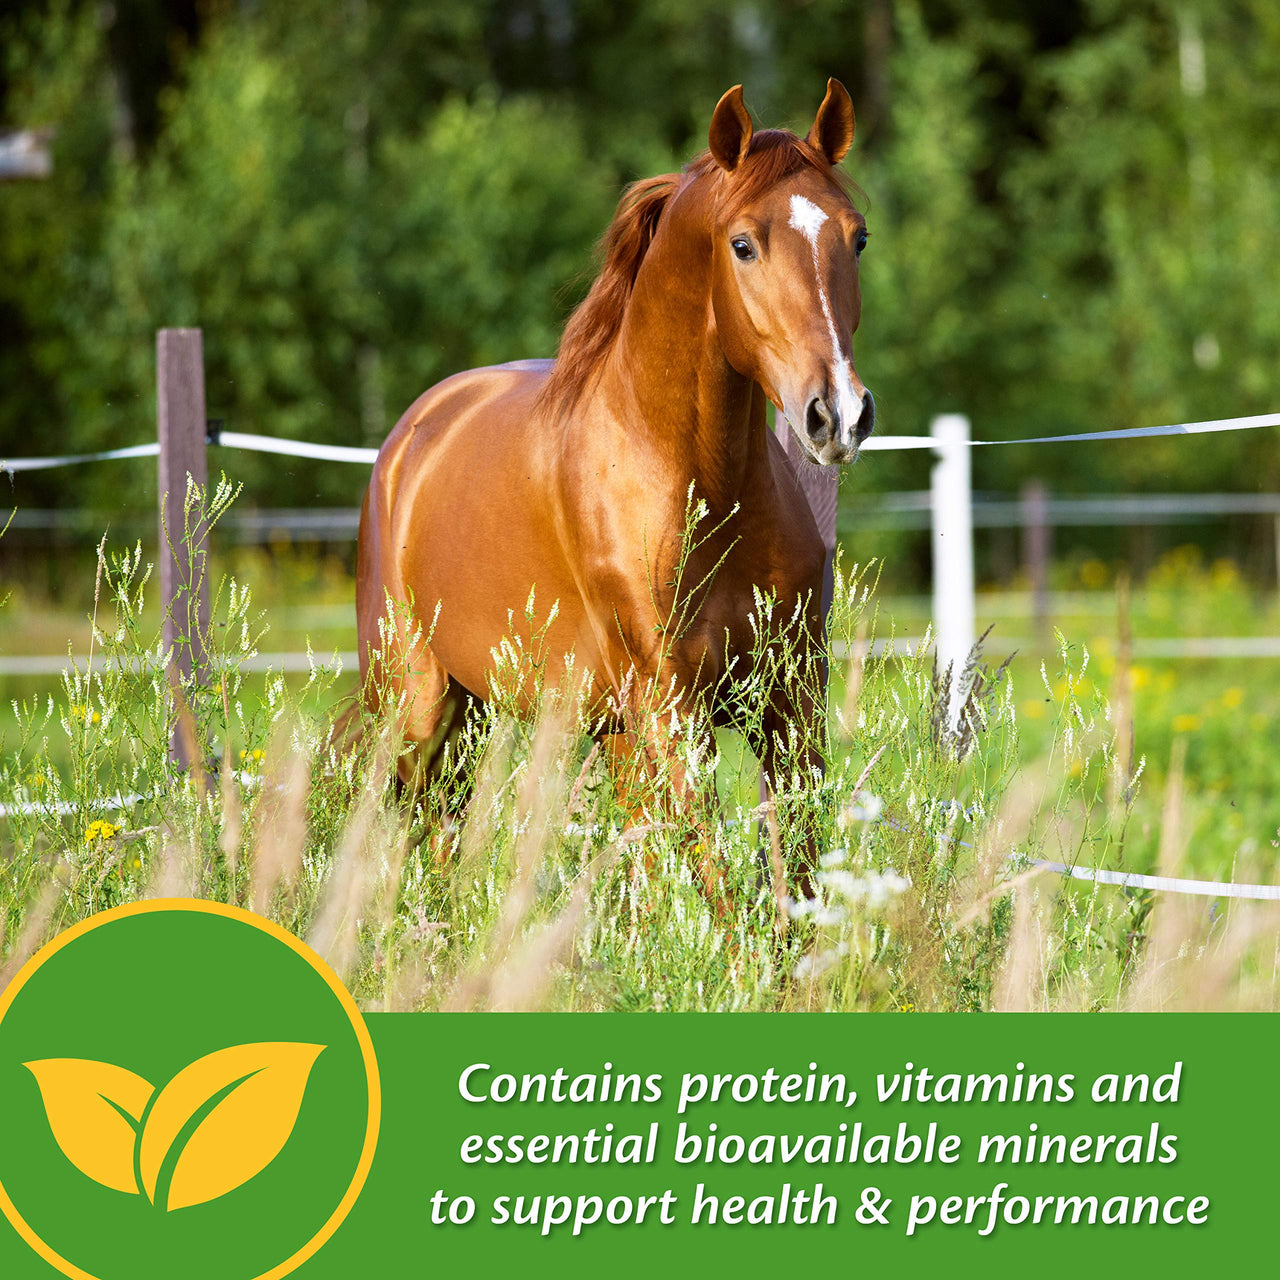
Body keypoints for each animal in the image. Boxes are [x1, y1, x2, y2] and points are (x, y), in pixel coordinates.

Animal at [356, 79, 873, 905]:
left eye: (855, 239)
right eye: (743, 244)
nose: (839, 414)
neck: (697, 487)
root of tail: (414, 433)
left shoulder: (788, 702)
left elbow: (796, 874)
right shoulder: (671, 711)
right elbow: (719, 886)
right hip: (421, 707)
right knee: (423, 831)